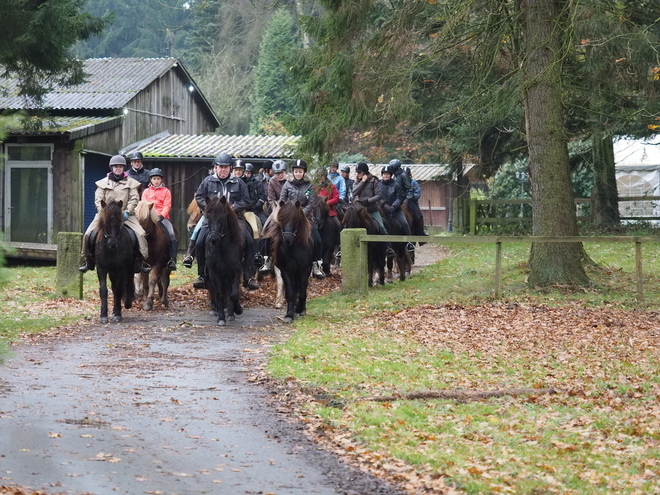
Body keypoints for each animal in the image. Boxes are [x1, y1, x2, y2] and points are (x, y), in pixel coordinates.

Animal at [204, 196, 245, 328]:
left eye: (222, 217)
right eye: (208, 217)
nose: (213, 239)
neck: (222, 248)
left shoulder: (236, 271)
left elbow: (234, 294)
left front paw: (238, 310)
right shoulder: (214, 273)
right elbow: (220, 295)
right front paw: (221, 318)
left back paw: (231, 313)